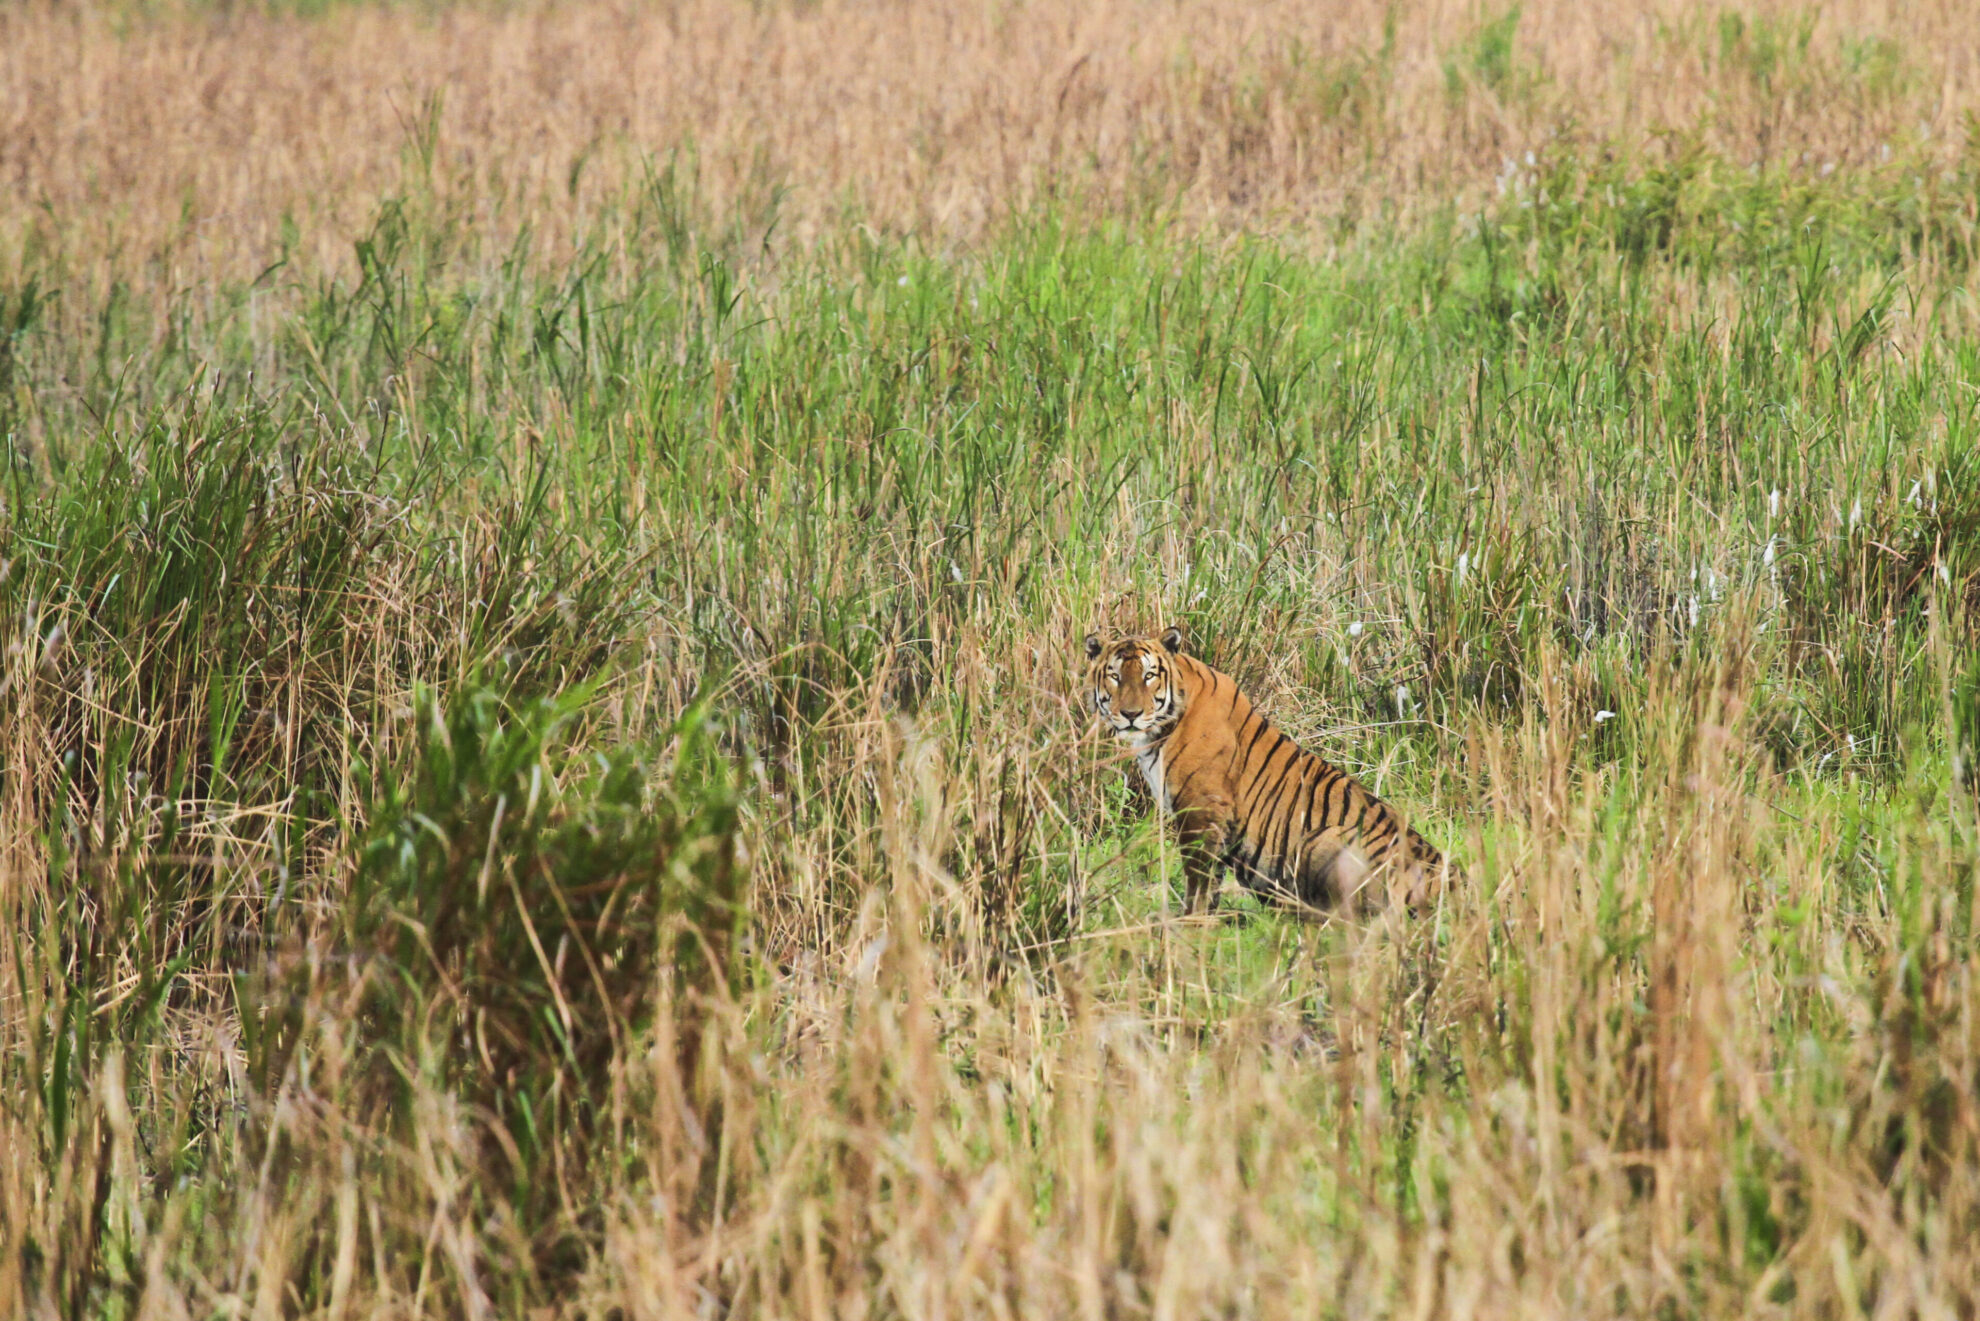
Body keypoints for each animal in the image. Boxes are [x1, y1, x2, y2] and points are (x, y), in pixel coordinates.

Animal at [1084, 627, 1452, 916]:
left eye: (1149, 676)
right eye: (1115, 676)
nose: (1130, 714)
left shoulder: (1201, 809)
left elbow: (1198, 878)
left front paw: (1190, 922)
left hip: (1324, 838)